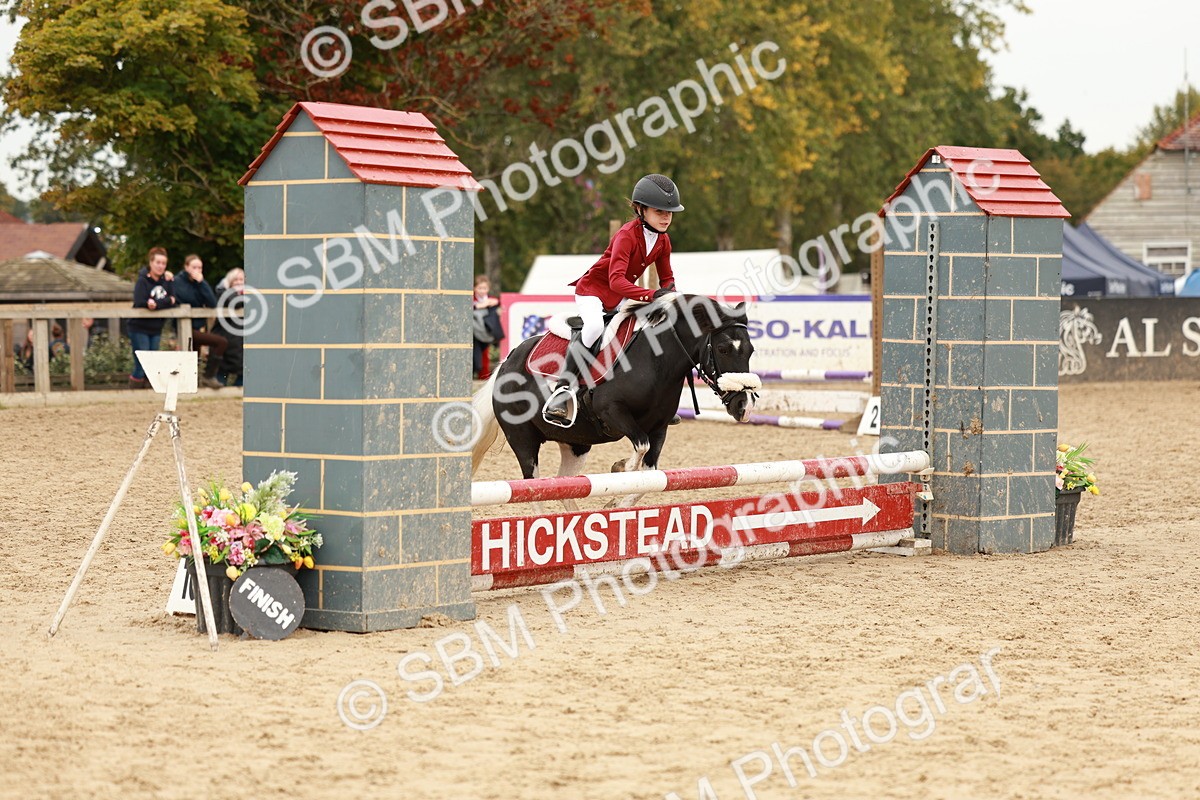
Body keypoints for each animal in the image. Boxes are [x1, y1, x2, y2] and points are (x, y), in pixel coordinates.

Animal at [470, 294, 760, 506]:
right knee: (534, 490)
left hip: (575, 444)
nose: (744, 406)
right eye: (722, 349)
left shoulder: (659, 427)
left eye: (750, 349)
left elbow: (649, 477)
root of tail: (506, 363)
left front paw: (616, 503)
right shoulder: (612, 411)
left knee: (563, 485)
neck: (656, 361)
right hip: (523, 439)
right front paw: (620, 468)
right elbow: (639, 447)